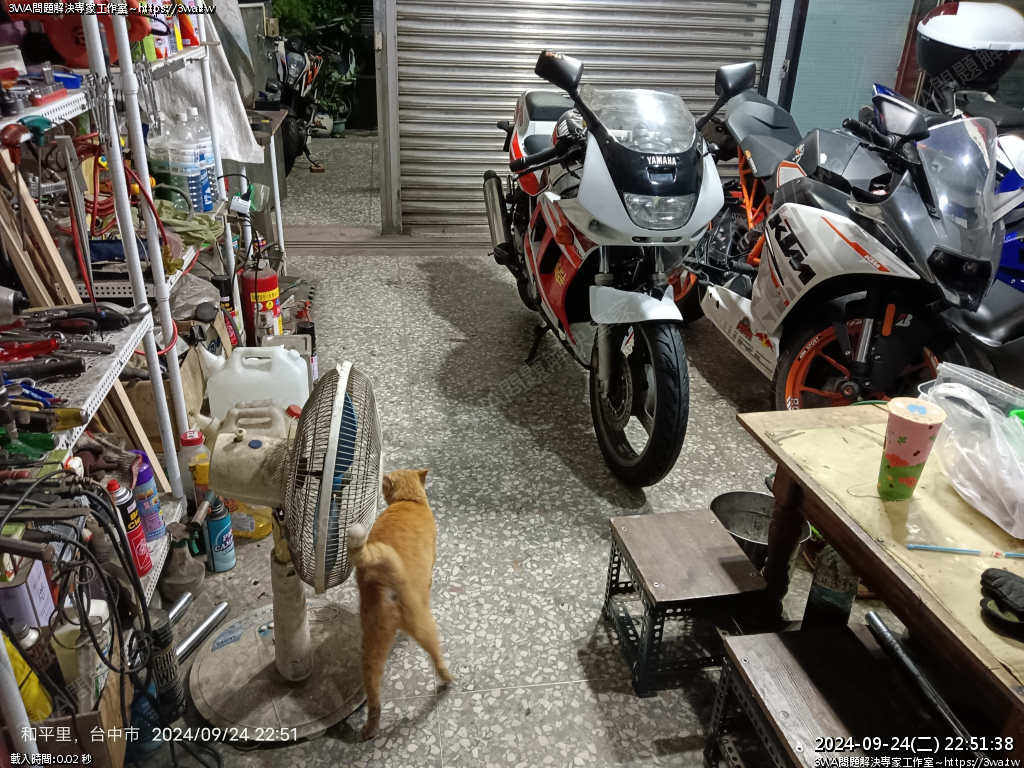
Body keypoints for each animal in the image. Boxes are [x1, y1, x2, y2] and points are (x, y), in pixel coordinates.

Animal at [346, 468, 455, 740]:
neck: (408, 501)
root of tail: (381, 574)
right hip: (425, 625)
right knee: (437, 658)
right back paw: (448, 679)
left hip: (372, 647)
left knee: (374, 697)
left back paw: (369, 730)